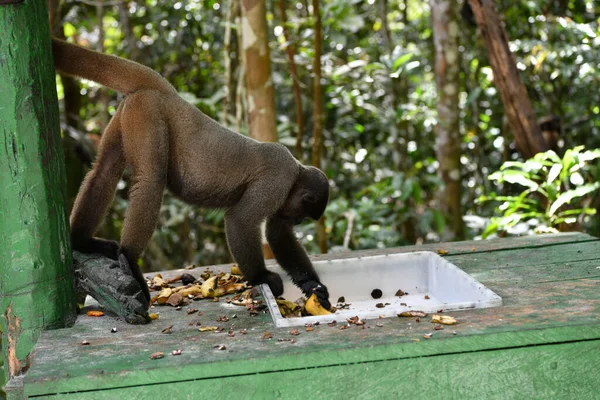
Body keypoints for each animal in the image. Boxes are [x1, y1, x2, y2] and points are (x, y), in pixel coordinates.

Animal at [51, 38, 330, 310]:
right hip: (149, 112)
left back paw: (81, 240)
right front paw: (262, 277)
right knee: (150, 180)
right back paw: (129, 258)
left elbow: (278, 232)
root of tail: (170, 93)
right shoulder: (278, 179)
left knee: (104, 171)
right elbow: (240, 218)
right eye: (303, 216)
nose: (298, 222)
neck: (296, 172)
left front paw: (313, 286)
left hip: (131, 110)